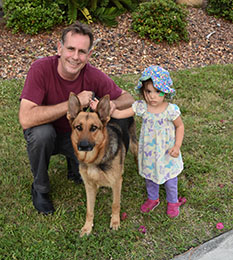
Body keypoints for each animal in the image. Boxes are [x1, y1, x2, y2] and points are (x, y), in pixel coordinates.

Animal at [66, 92, 137, 237]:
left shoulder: (116, 183)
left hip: (134, 146)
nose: (83, 146)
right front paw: (87, 227)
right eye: (78, 127)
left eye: (94, 128)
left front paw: (115, 222)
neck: (94, 160)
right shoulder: (89, 186)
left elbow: (115, 204)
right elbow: (89, 210)